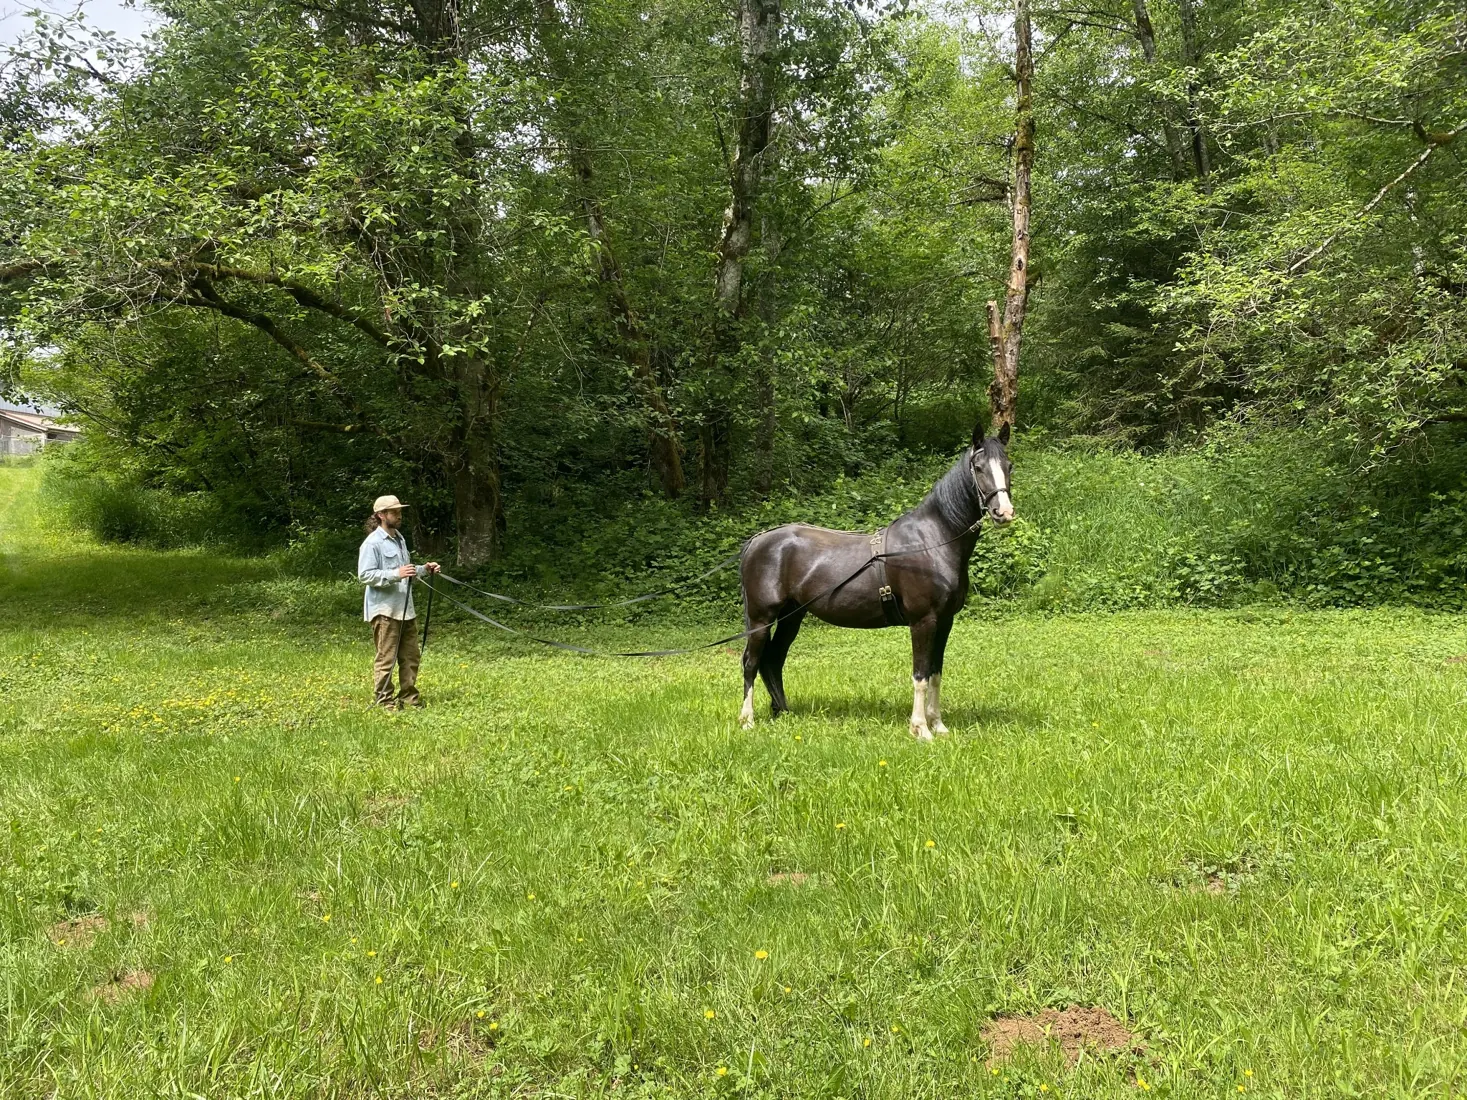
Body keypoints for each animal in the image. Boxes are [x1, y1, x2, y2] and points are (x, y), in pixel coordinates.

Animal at [738, 420, 1014, 739]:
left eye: (1009, 465)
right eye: (978, 467)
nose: (1003, 512)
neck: (933, 540)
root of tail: (756, 542)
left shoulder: (945, 621)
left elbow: (935, 673)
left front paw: (938, 725)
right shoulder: (923, 621)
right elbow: (920, 675)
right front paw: (921, 729)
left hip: (791, 616)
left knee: (773, 659)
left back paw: (782, 712)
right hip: (761, 619)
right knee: (751, 662)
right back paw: (747, 720)